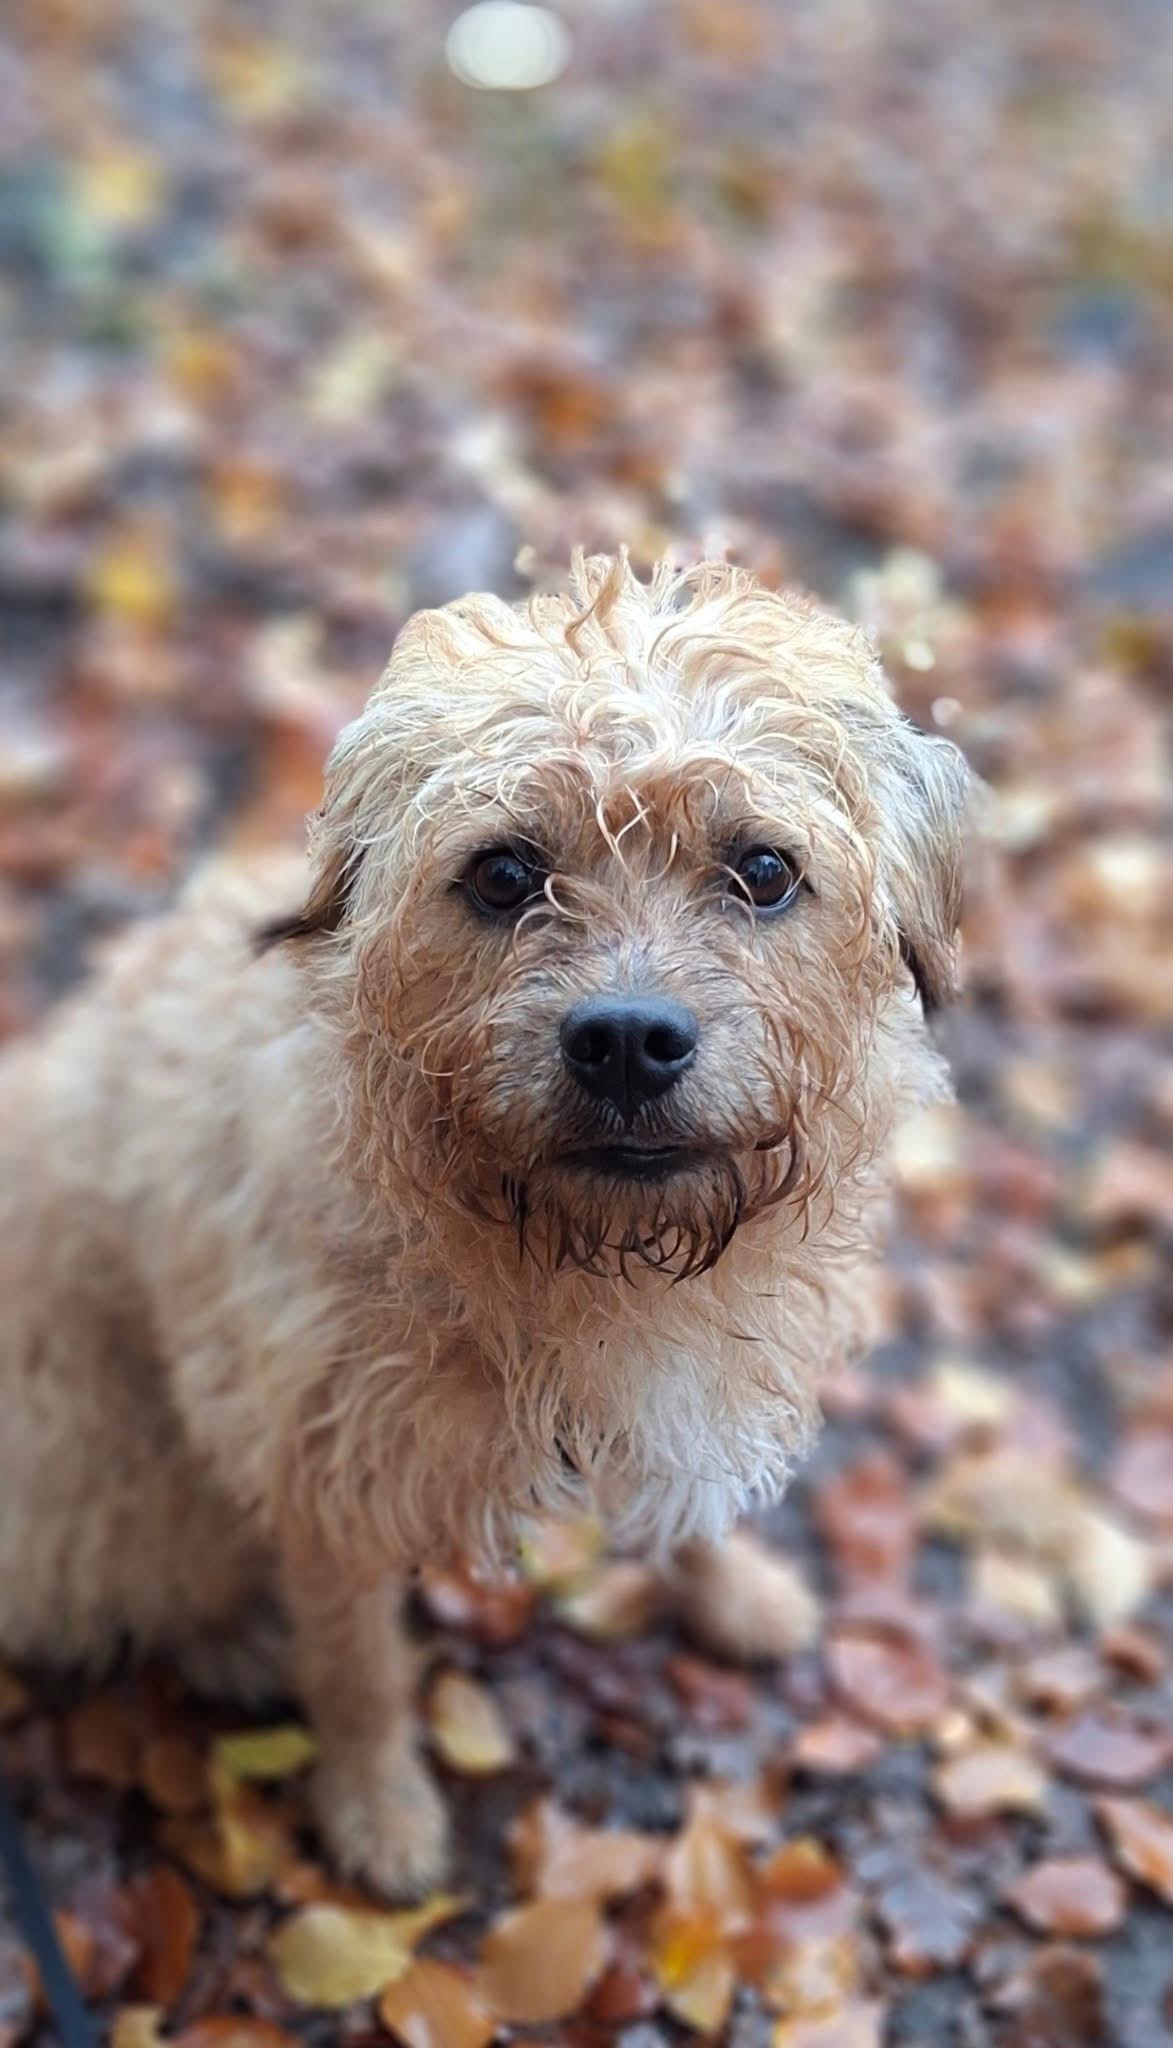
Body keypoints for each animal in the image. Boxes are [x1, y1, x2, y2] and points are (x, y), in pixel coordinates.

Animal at [0, 553, 969, 1894]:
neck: (575, 1253)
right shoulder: (317, 1456)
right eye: (505, 872)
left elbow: (697, 1507)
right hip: (118, 1465)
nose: (629, 1037)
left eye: (763, 869)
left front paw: (734, 1592)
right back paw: (239, 1640)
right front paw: (380, 1811)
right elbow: (357, 1664)